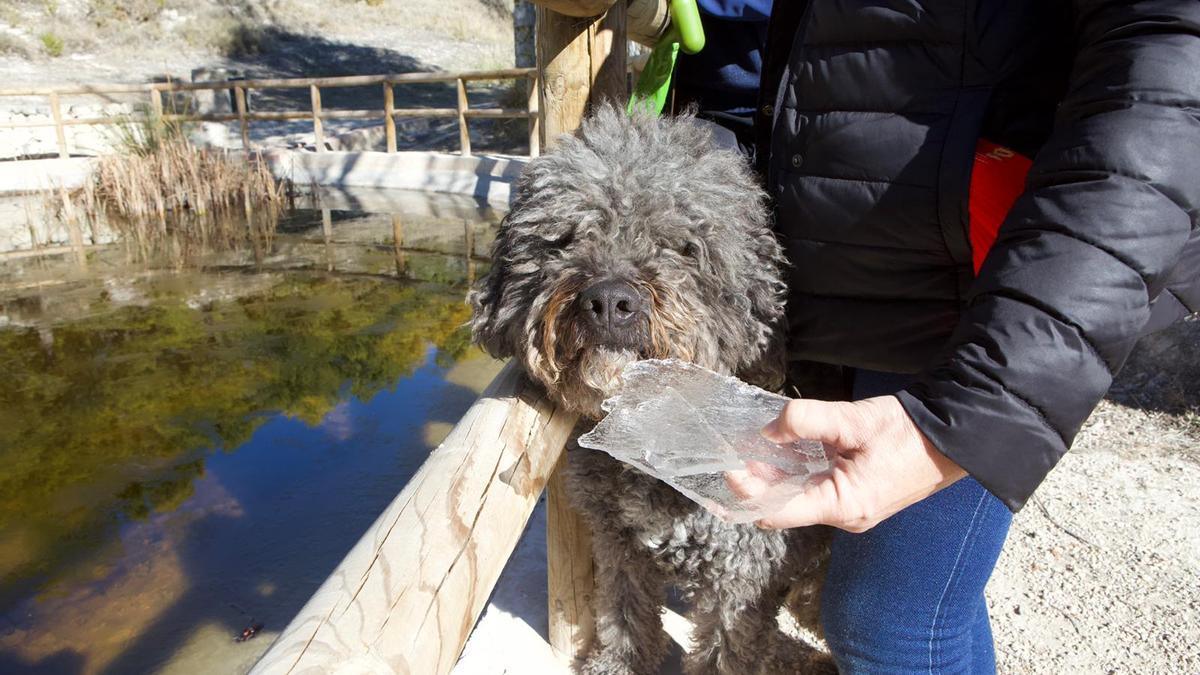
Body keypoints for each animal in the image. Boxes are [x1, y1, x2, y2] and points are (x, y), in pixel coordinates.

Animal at [472, 106, 830, 672]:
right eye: (566, 237)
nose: (609, 302)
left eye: (685, 247)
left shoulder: (740, 577)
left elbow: (724, 654)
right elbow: (625, 616)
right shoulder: (619, 544)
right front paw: (617, 663)